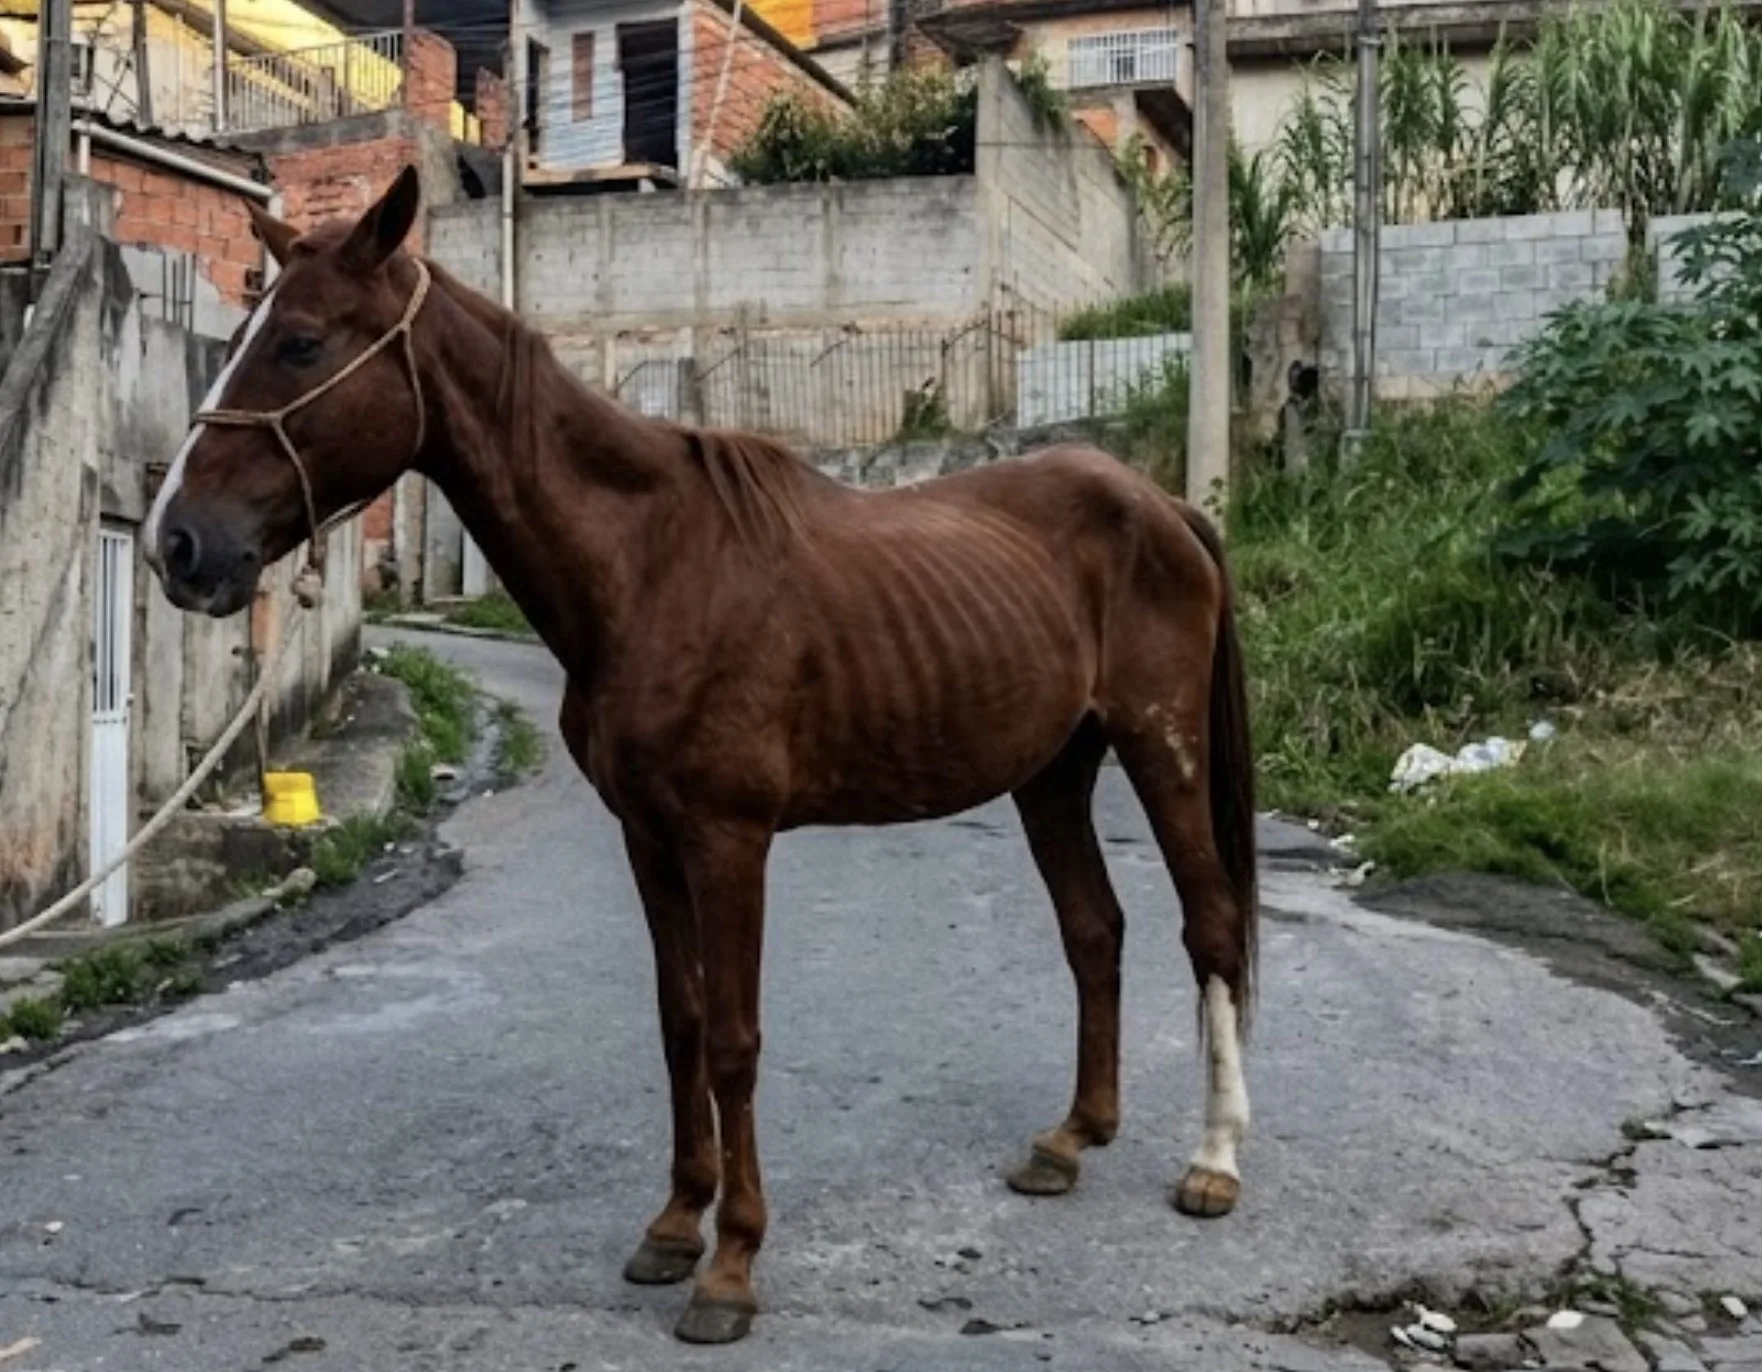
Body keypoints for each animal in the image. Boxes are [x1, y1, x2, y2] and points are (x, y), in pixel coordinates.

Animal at [142, 165, 1260, 1347]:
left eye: (302, 342)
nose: (178, 543)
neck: (650, 567)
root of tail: (1161, 504)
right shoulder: (647, 835)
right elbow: (678, 1022)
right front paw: (678, 1223)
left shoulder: (729, 840)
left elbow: (731, 1037)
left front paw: (731, 1266)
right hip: (1052, 771)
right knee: (1095, 931)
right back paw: (1073, 1135)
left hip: (1163, 748)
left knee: (1209, 924)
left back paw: (1214, 1159)